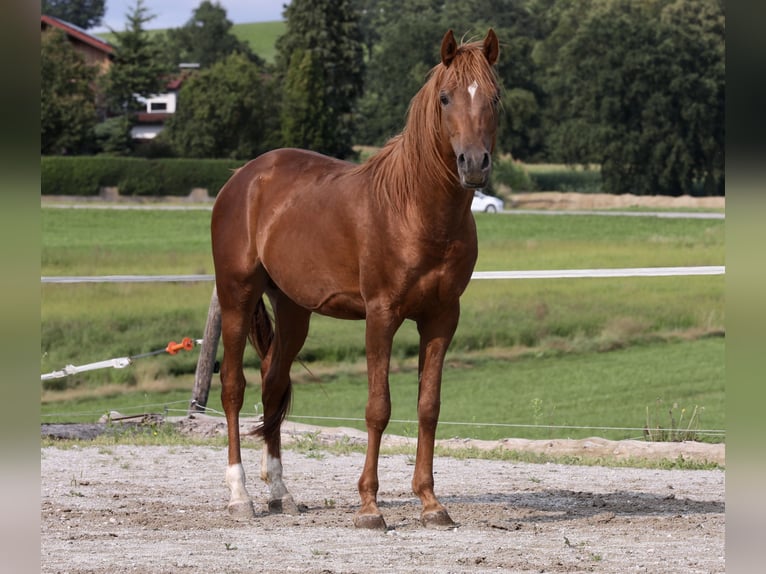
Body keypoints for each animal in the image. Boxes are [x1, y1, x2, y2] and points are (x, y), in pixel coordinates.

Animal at [210, 28, 500, 532]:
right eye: (445, 98)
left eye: (494, 98)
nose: (474, 164)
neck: (415, 210)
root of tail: (243, 178)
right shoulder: (381, 315)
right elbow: (378, 408)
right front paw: (369, 506)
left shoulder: (442, 318)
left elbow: (428, 407)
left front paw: (431, 503)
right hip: (236, 298)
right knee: (233, 387)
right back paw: (240, 495)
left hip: (293, 310)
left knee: (272, 382)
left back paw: (281, 494)